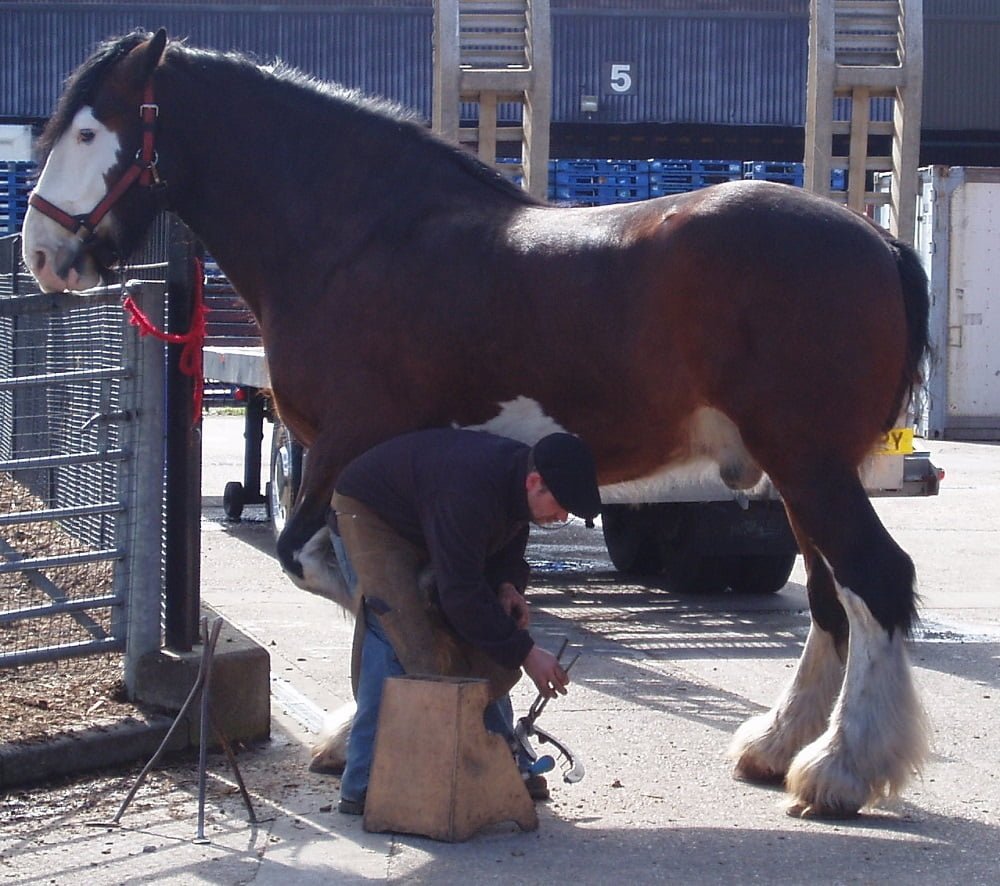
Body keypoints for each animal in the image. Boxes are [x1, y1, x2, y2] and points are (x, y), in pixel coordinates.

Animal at [22, 30, 930, 818]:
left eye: (90, 129)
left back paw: (841, 770)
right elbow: (372, 579)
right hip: (799, 472)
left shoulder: (350, 442)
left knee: (874, 582)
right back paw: (777, 746)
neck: (356, 239)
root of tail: (880, 241)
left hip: (808, 464)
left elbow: (326, 566)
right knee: (830, 599)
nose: (37, 254)